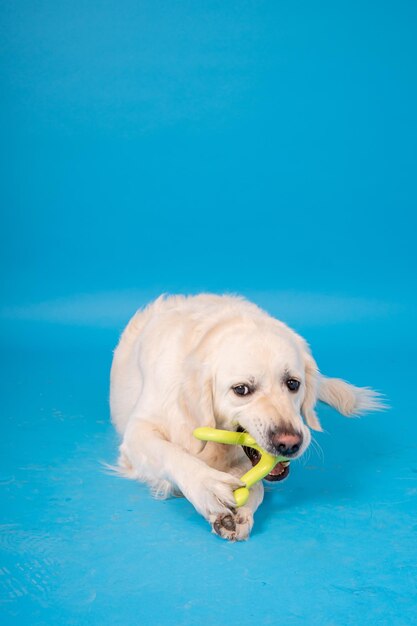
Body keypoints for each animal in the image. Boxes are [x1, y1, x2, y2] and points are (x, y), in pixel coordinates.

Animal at [108, 294, 384, 540]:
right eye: (241, 389)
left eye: (293, 383)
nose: (289, 443)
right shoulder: (137, 433)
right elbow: (171, 453)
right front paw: (207, 486)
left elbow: (256, 482)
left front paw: (242, 510)